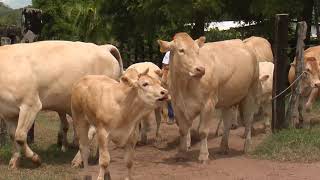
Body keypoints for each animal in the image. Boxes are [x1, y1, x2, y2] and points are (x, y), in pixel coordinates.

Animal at [0, 41, 122, 169]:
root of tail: (103, 48)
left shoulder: (30, 104)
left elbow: (20, 136)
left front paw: (36, 159)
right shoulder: (8, 112)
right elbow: (13, 135)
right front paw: (14, 161)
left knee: (90, 132)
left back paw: (77, 160)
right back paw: (97, 157)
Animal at [158, 32, 260, 163]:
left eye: (197, 51)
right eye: (181, 50)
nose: (200, 69)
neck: (185, 85)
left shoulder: (208, 104)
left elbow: (203, 131)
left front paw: (203, 155)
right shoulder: (177, 106)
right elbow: (183, 130)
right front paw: (181, 153)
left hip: (251, 93)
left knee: (248, 120)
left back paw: (247, 147)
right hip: (227, 100)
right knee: (227, 123)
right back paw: (223, 147)